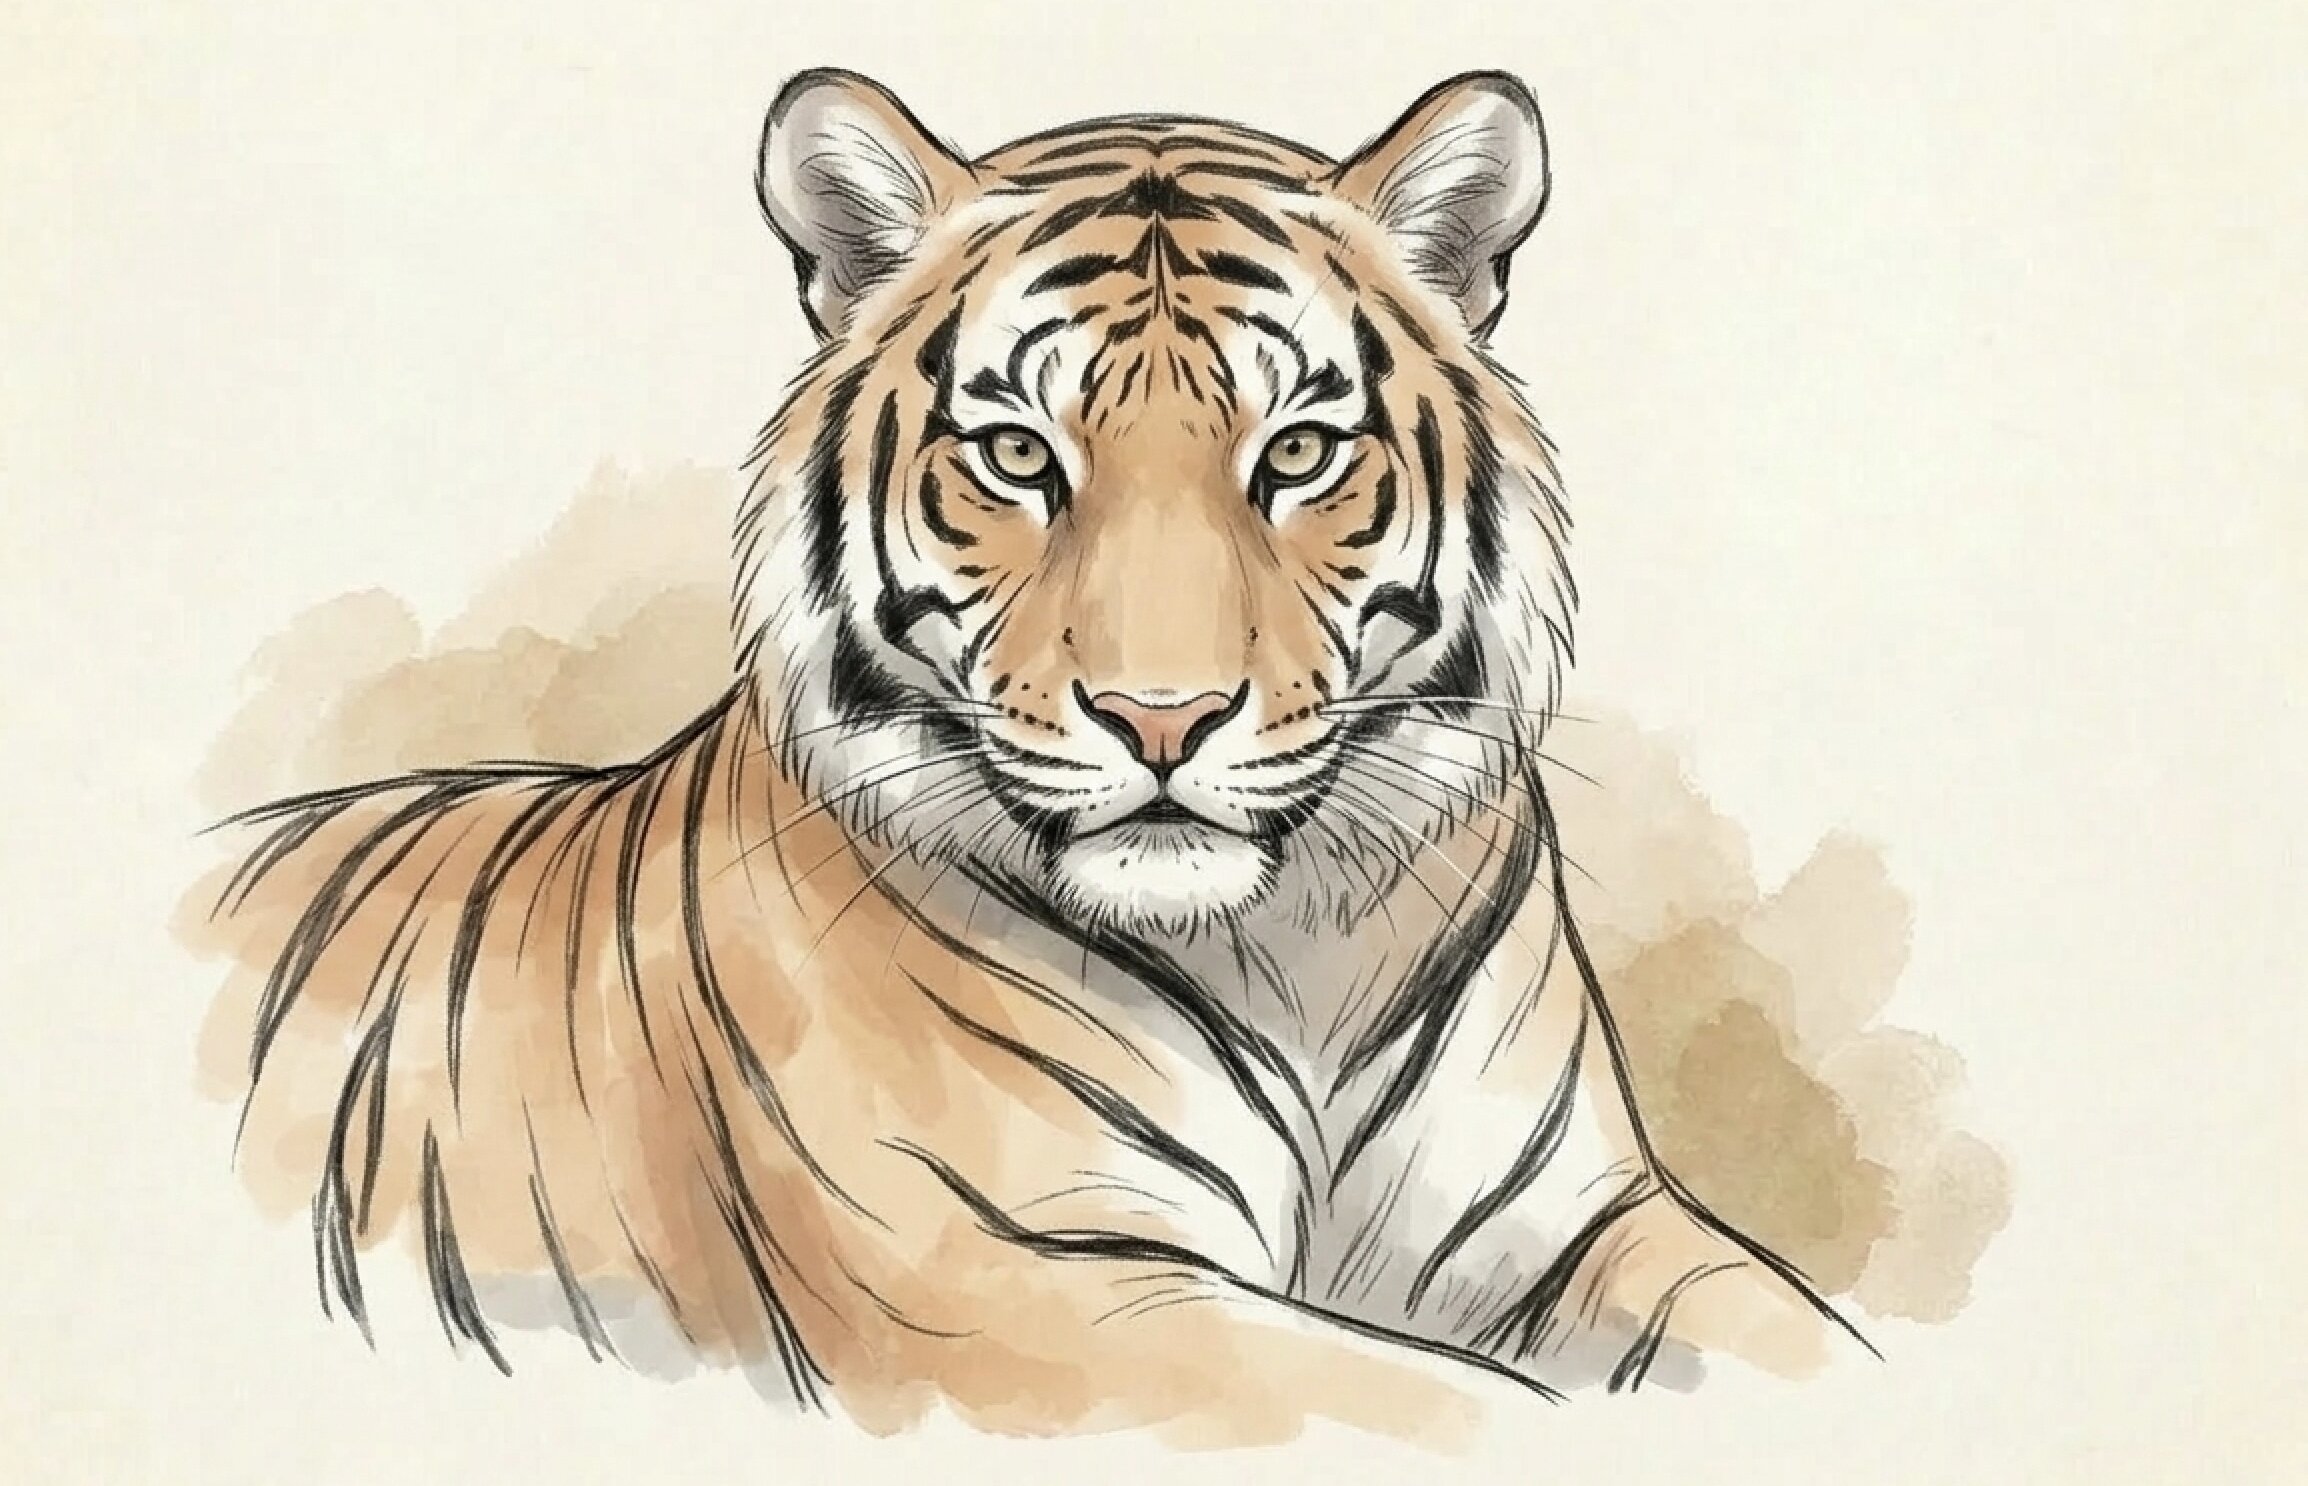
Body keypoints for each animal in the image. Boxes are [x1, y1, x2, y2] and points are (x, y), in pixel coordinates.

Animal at [182, 67, 1878, 1449]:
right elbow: (1467, 1411)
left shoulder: (1590, 1226)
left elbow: (1802, 1345)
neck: (1296, 955)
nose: (1163, 716)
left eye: (1298, 453)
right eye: (1015, 455)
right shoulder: (1021, 1290)